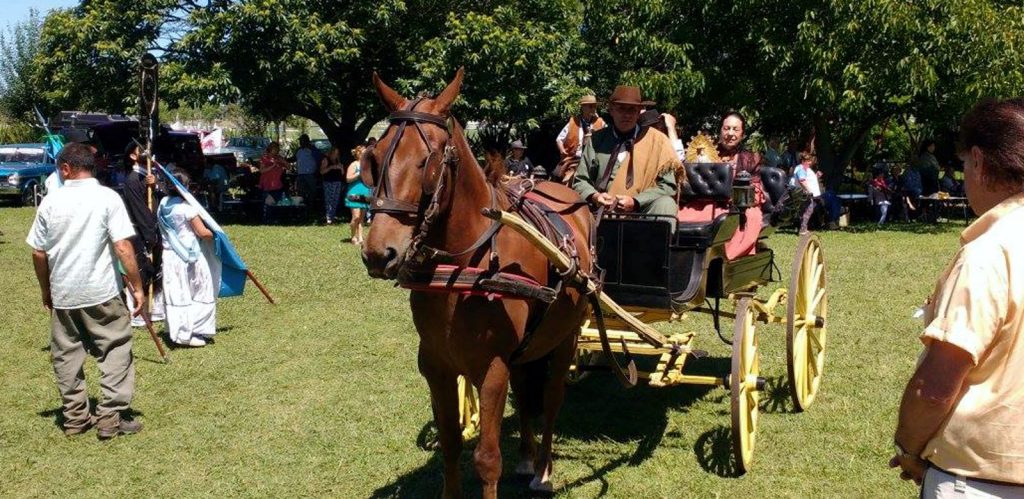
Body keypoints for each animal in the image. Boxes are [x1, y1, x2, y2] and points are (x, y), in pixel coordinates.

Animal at [364, 68, 598, 497]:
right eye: (374, 158)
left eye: (428, 161)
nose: (378, 253)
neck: (464, 267)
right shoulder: (436, 364)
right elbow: (451, 444)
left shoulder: (491, 369)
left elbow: (487, 459)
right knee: (525, 390)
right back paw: (527, 457)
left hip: (566, 335)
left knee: (551, 398)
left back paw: (543, 469)